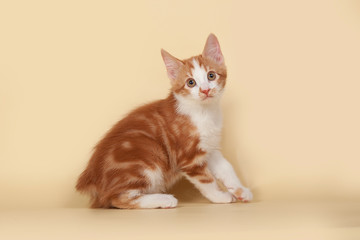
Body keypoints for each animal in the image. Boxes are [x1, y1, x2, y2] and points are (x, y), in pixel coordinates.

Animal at [75, 33, 252, 208]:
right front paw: (220, 197)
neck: (204, 112)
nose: (205, 90)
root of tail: (91, 178)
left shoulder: (209, 146)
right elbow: (206, 181)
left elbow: (226, 168)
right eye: (191, 82)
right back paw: (164, 199)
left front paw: (241, 190)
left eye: (211, 75)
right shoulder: (188, 156)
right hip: (147, 153)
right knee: (117, 199)